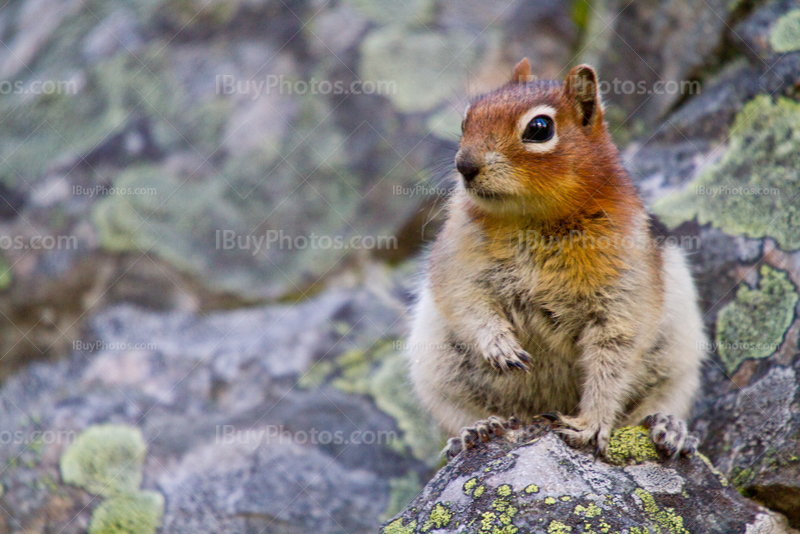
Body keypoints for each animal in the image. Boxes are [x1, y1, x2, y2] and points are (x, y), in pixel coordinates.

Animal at [406, 58, 708, 460]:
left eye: (539, 128)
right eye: (465, 120)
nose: (464, 165)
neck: (532, 220)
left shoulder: (623, 294)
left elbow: (611, 361)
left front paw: (590, 424)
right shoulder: (456, 262)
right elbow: (467, 304)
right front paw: (500, 346)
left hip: (677, 369)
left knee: (656, 403)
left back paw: (670, 429)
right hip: (439, 376)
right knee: (464, 413)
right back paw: (478, 429)